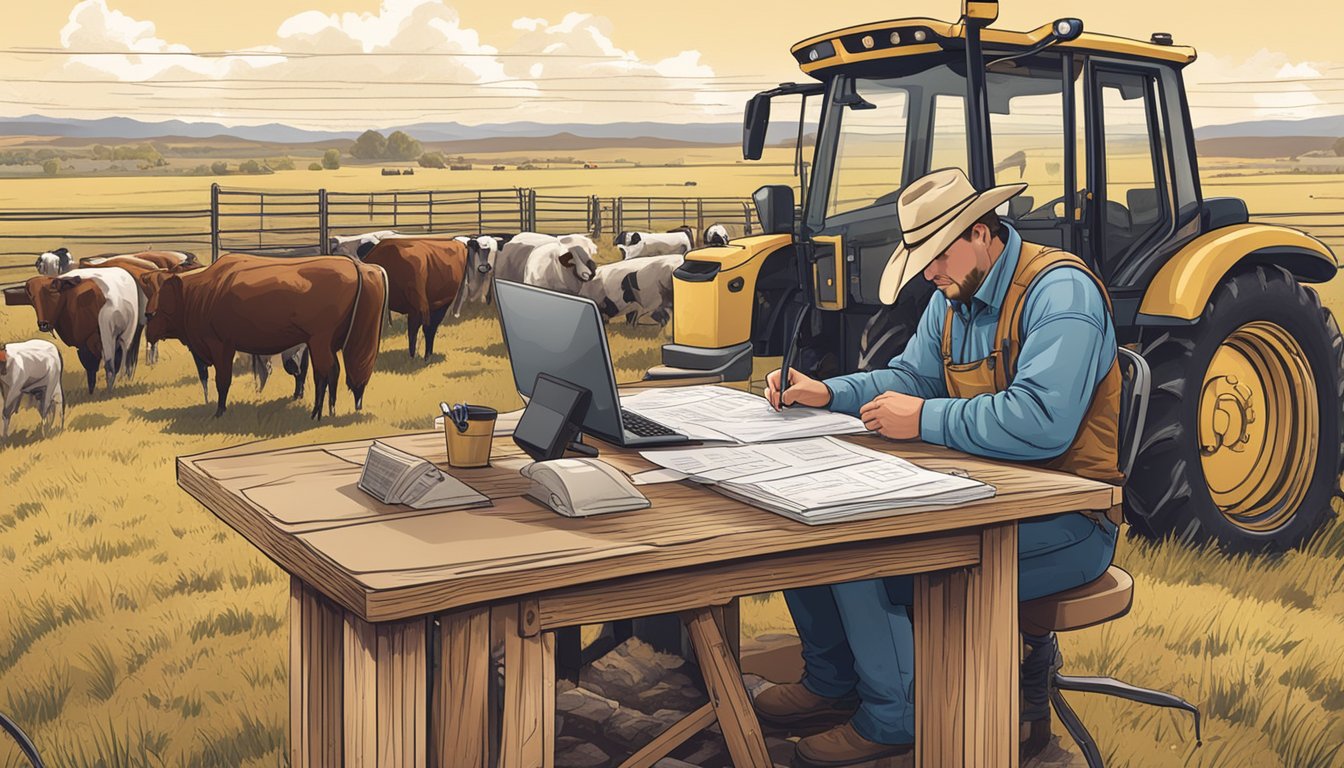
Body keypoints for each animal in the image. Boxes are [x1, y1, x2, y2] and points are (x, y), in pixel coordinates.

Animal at [147, 255, 389, 416]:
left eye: (155, 311)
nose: (148, 327)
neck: (203, 291)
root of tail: (355, 264)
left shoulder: (220, 346)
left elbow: (223, 381)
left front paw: (219, 411)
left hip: (319, 341)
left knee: (324, 372)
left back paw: (317, 413)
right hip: (325, 344)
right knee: (333, 372)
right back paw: (329, 410)